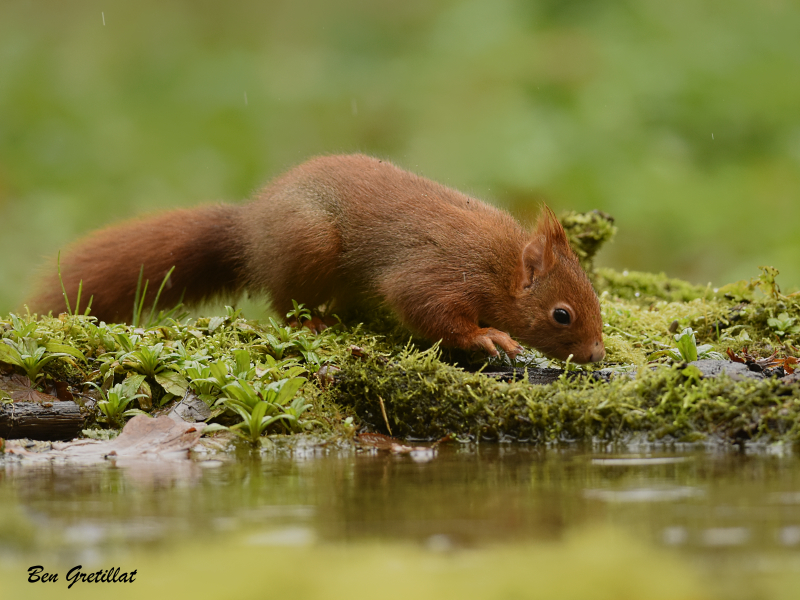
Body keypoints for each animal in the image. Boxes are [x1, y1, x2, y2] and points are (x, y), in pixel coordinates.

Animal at [29, 154, 608, 360]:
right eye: (562, 315)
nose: (597, 355)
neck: (501, 265)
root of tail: (251, 228)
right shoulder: (440, 272)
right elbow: (430, 309)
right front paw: (485, 336)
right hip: (309, 244)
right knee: (283, 302)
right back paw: (311, 323)